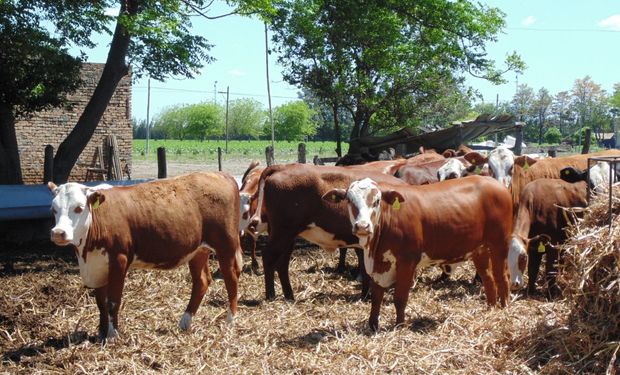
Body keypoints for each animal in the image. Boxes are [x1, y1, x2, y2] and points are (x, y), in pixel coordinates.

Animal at [49, 173, 242, 340]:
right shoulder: (97, 265)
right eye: (54, 209)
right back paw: (185, 322)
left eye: (79, 208)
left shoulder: (119, 260)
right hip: (198, 250)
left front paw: (112, 335)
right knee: (201, 281)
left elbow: (113, 302)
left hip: (226, 244)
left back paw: (230, 320)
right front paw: (101, 333)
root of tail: (221, 174)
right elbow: (101, 303)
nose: (58, 233)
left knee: (231, 278)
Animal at [322, 177, 512, 332]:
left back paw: (503, 309)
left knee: (502, 277)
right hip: (479, 249)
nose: (362, 226)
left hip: (500, 243)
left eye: (376, 201)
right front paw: (373, 325)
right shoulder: (379, 264)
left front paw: (400, 326)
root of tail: (496, 183)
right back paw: (490, 309)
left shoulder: (407, 262)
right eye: (349, 200)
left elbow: (399, 297)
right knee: (488, 279)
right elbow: (376, 297)